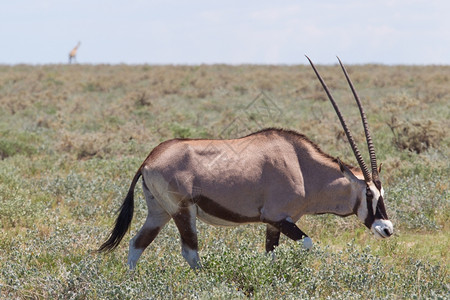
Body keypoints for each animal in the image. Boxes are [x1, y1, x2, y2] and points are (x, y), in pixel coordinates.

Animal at [99, 56, 394, 270]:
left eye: (383, 192)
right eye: (368, 193)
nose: (387, 229)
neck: (302, 167)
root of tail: (149, 158)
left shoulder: (275, 223)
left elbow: (270, 254)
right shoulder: (277, 217)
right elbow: (309, 243)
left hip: (159, 211)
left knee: (137, 244)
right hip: (183, 211)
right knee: (190, 252)